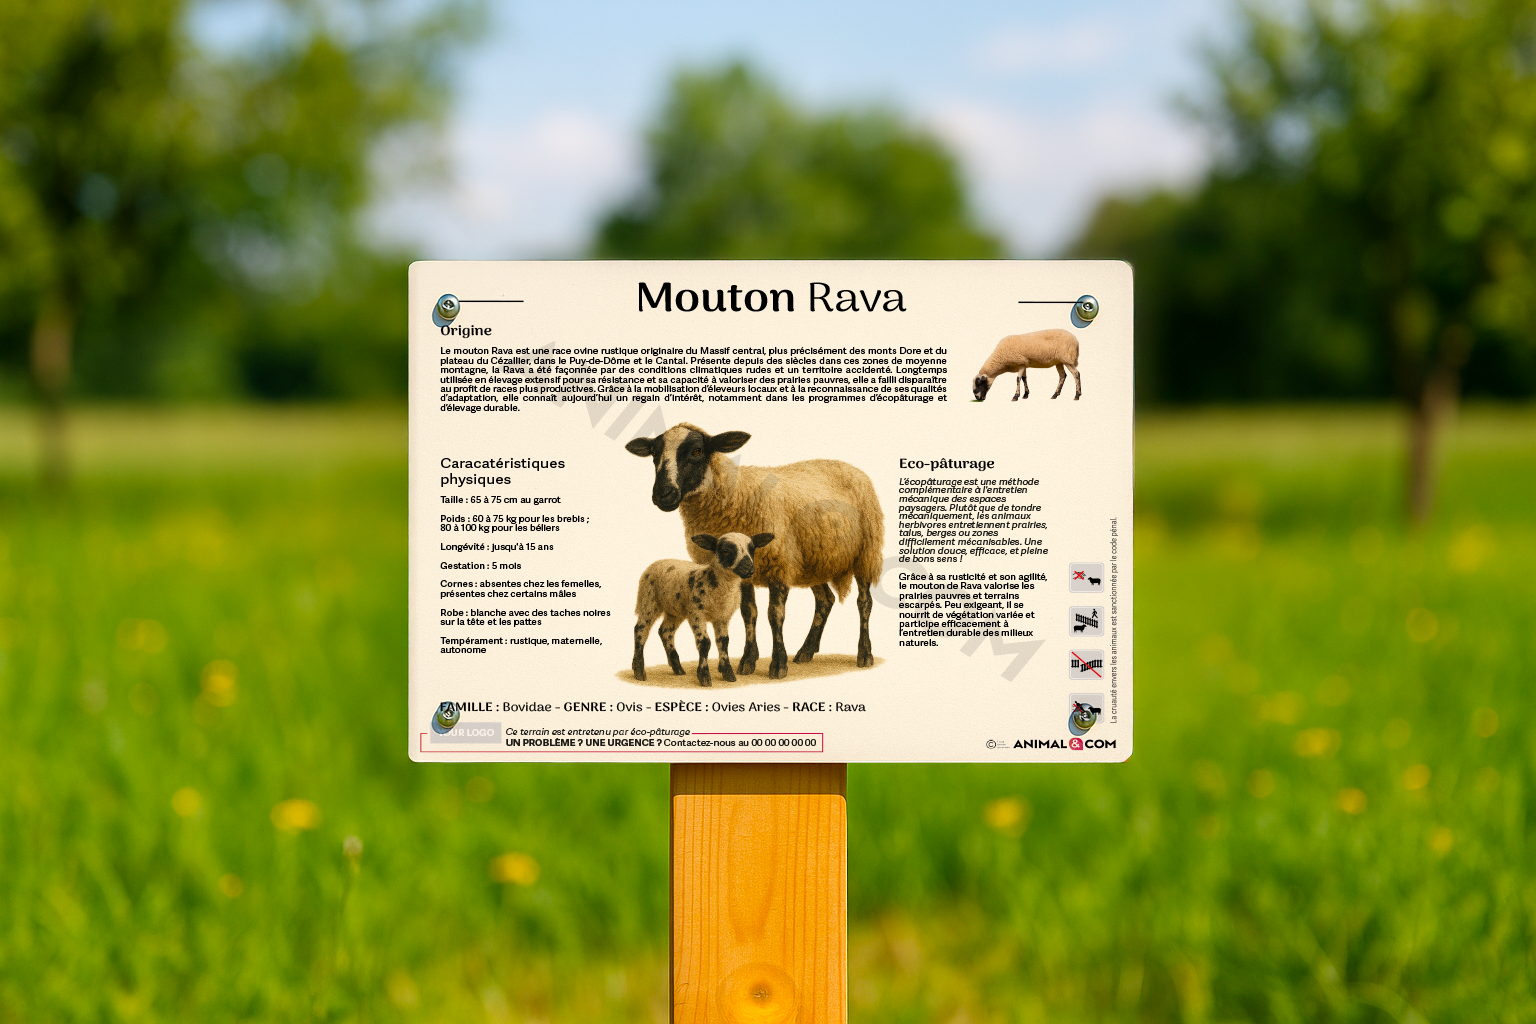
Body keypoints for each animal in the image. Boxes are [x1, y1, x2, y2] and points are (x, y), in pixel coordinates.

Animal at [632, 532, 774, 686]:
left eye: (752, 549)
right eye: (725, 551)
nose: (748, 569)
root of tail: (659, 562)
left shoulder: (722, 617)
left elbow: (724, 641)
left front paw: (728, 673)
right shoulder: (697, 614)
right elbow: (705, 643)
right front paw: (704, 676)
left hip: (675, 610)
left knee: (665, 631)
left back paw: (677, 668)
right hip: (648, 601)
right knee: (641, 629)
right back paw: (639, 671)